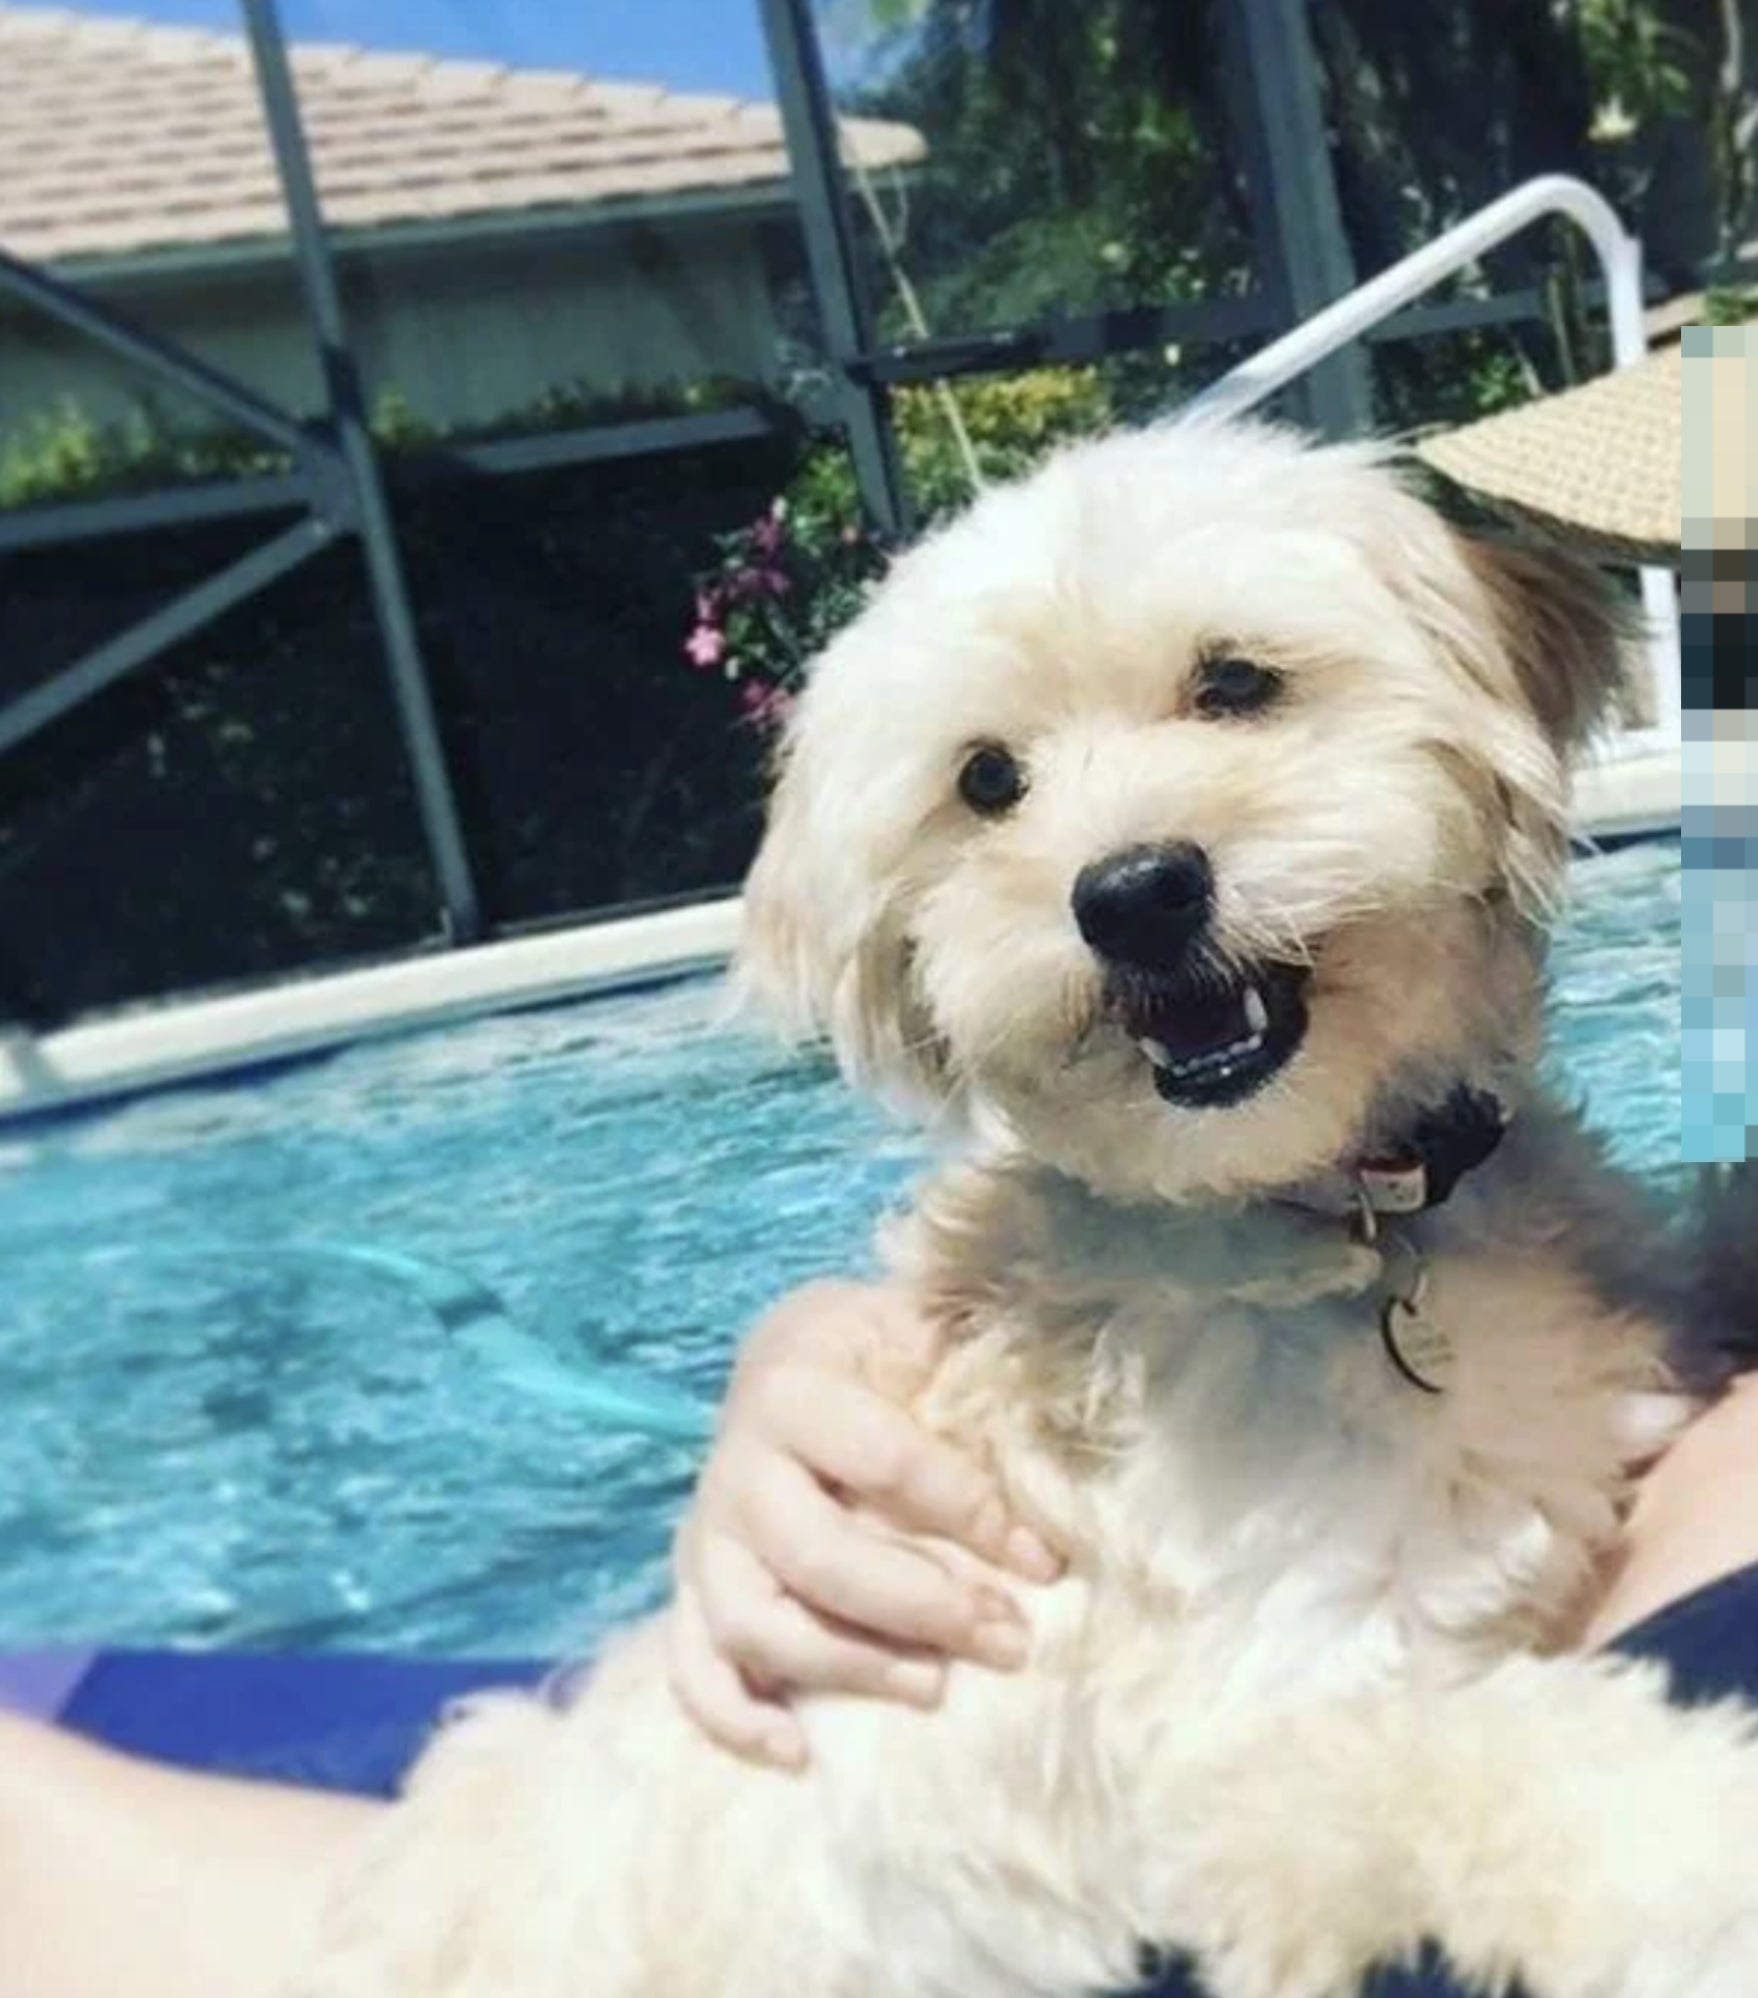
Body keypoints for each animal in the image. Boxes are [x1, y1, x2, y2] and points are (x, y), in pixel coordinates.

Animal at [291, 421, 1758, 1998]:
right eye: (987, 779)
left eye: (1233, 680)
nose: (1132, 893)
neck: (1326, 1211)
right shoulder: (1267, 1728)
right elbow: (1500, 1769)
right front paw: (1700, 1840)